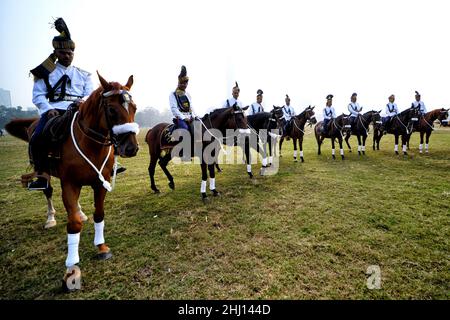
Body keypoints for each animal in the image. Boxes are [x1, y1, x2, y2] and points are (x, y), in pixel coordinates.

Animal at [4, 73, 139, 290]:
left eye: (134, 107)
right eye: (111, 109)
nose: (131, 148)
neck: (90, 144)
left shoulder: (100, 183)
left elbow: (99, 215)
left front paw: (101, 247)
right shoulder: (69, 184)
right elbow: (73, 225)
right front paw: (71, 268)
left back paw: (80, 212)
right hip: (44, 172)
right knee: (48, 192)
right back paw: (50, 217)